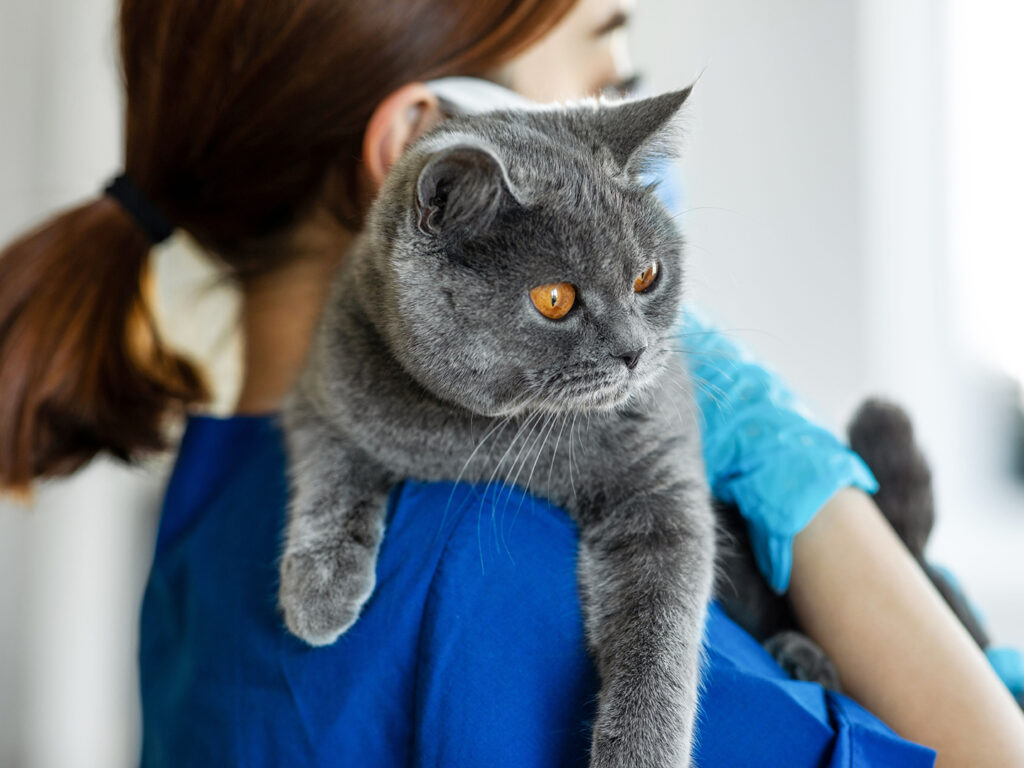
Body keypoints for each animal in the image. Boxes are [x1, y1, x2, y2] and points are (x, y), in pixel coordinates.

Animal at [276, 90, 716, 768]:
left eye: (647, 276)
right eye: (556, 299)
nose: (636, 352)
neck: (480, 435)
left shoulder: (660, 487)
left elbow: (660, 629)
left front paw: (641, 753)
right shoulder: (321, 393)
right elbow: (332, 471)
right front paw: (320, 589)